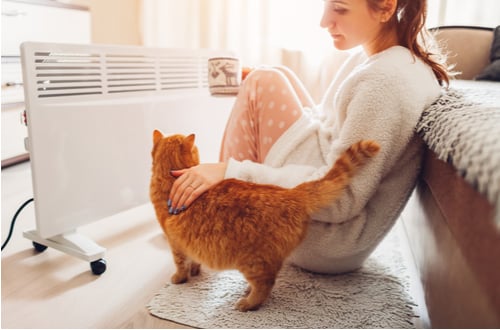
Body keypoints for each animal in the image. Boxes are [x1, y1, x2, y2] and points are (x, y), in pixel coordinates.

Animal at [148, 130, 378, 310]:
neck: (171, 180)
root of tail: (290, 193)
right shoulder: (188, 243)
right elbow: (194, 261)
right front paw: (195, 272)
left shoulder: (175, 243)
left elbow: (180, 265)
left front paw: (179, 279)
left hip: (252, 262)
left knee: (266, 285)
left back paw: (247, 303)